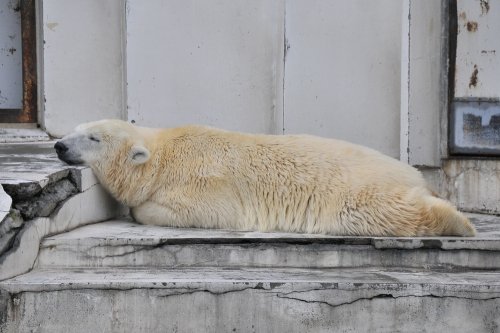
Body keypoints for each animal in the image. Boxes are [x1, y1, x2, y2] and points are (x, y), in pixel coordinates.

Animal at [54, 119, 476, 236]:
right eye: (76, 128)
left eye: (92, 137)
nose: (58, 145)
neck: (164, 153)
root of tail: (414, 175)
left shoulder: (206, 183)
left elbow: (200, 210)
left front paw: (139, 209)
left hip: (354, 193)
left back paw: (461, 222)